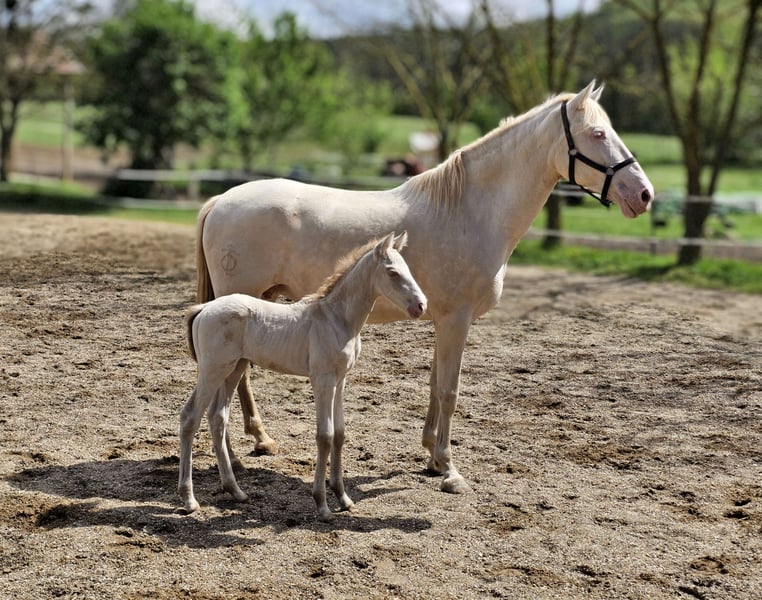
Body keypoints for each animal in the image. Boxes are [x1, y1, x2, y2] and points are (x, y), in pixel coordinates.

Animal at [179, 232, 427, 521]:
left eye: (407, 269)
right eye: (392, 273)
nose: (420, 306)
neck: (336, 319)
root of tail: (203, 308)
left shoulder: (340, 380)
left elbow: (340, 434)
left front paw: (343, 498)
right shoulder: (322, 380)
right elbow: (325, 436)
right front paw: (322, 504)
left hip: (233, 368)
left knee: (217, 418)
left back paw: (236, 491)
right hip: (212, 369)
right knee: (190, 417)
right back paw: (189, 499)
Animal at [194, 81, 654, 495]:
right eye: (598, 134)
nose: (645, 195)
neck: (470, 211)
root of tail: (221, 200)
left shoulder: (443, 319)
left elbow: (435, 385)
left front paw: (432, 456)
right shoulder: (456, 320)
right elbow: (449, 390)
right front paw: (450, 469)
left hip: (262, 301)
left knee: (239, 378)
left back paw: (259, 441)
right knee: (229, 383)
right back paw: (237, 455)